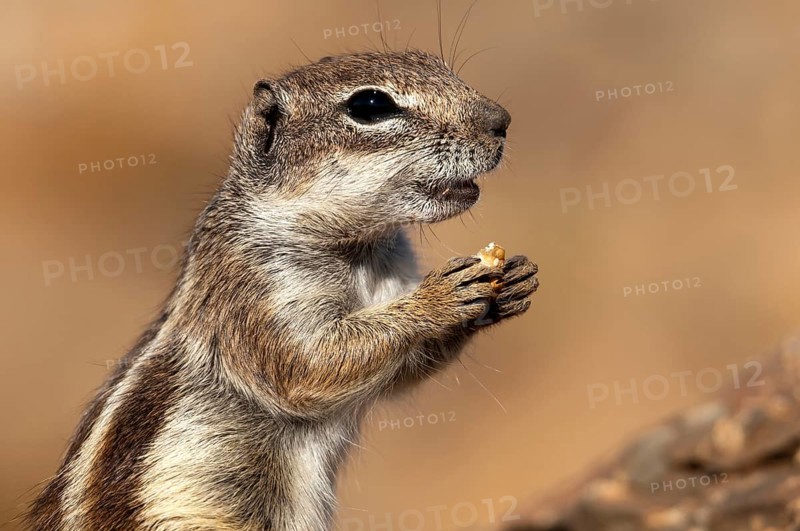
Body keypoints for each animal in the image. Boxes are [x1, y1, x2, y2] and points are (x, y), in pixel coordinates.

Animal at [27, 49, 539, 531]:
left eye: (435, 63)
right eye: (370, 106)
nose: (501, 121)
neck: (361, 254)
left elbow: (402, 371)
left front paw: (510, 284)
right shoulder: (254, 292)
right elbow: (306, 364)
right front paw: (439, 298)